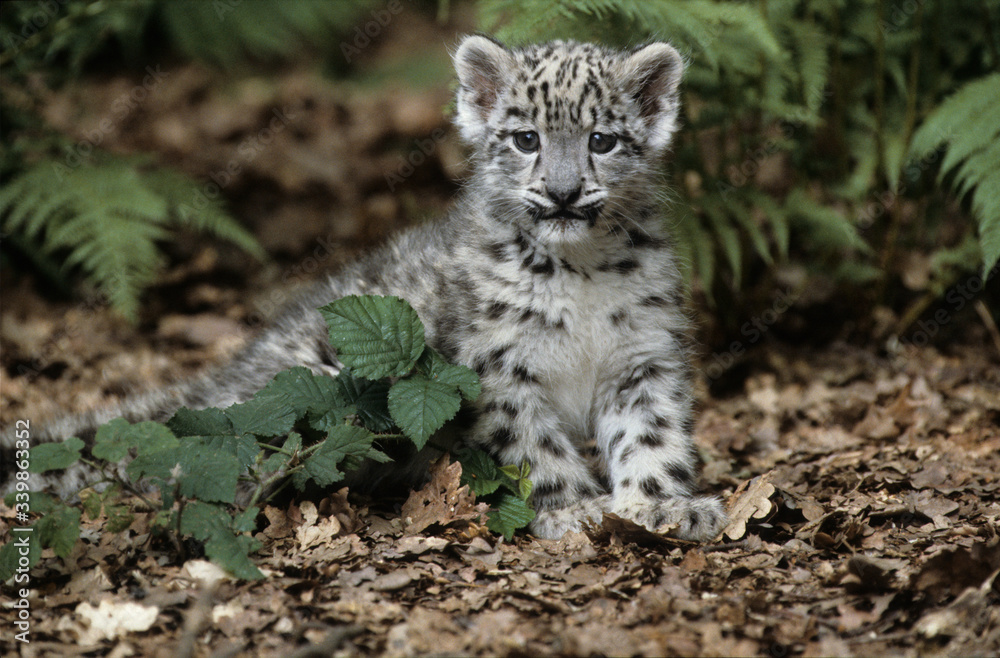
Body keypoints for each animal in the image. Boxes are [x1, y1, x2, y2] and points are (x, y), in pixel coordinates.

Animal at [1, 35, 728, 541]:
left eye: (602, 139)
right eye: (527, 138)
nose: (564, 191)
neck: (581, 271)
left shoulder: (643, 355)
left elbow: (651, 434)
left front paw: (663, 505)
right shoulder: (502, 369)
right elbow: (534, 447)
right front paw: (572, 511)